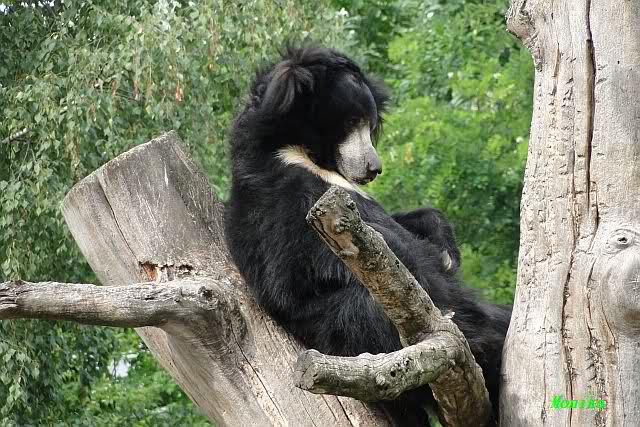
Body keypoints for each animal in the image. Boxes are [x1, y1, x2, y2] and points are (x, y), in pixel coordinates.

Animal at [224, 45, 511, 425]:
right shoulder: (296, 201)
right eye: (350, 122)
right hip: (357, 328)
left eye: (371, 125)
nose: (374, 169)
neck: (296, 149)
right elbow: (394, 256)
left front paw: (447, 249)